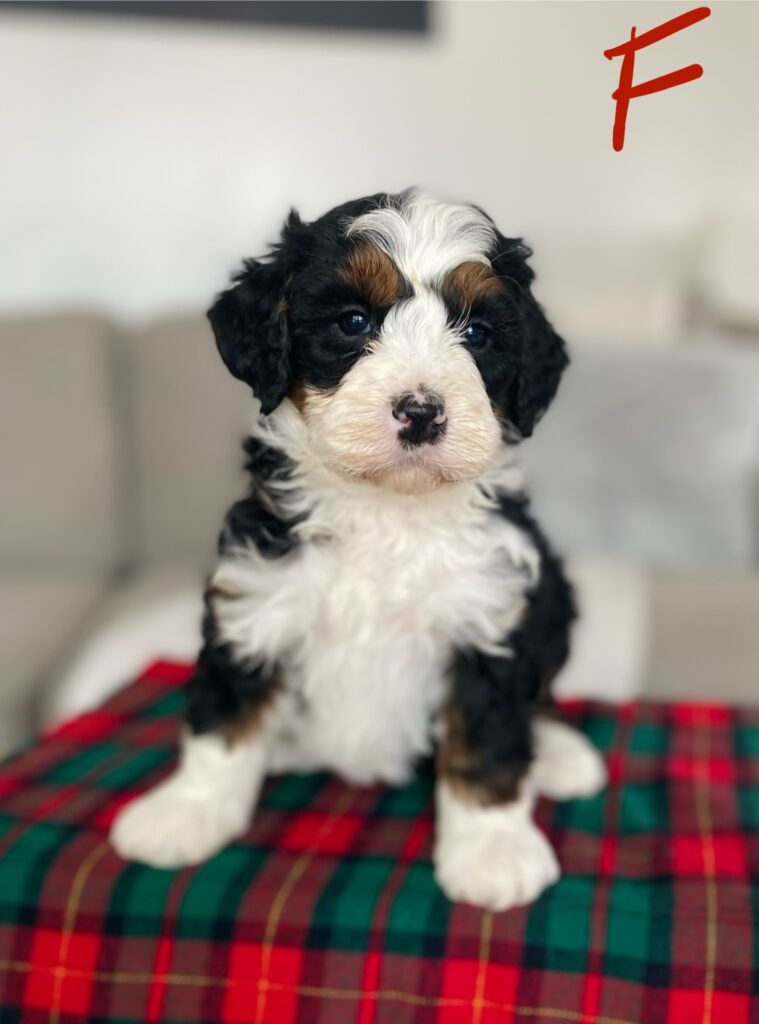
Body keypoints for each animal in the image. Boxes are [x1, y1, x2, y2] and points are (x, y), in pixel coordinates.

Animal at [111, 188, 602, 909]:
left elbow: (488, 740)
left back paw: (561, 754)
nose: (421, 412)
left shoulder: (490, 619)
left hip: (554, 599)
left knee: (539, 695)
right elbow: (223, 720)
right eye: (351, 321)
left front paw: (491, 849)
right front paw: (187, 810)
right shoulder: (253, 605)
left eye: (477, 335)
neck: (385, 510)